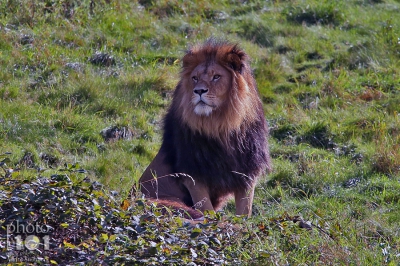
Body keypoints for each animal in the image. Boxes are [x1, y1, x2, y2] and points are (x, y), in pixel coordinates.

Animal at [135, 38, 272, 220]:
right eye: (195, 78)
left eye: (216, 77)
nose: (199, 90)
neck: (220, 126)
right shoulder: (193, 176)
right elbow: (208, 212)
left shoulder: (246, 174)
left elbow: (244, 212)